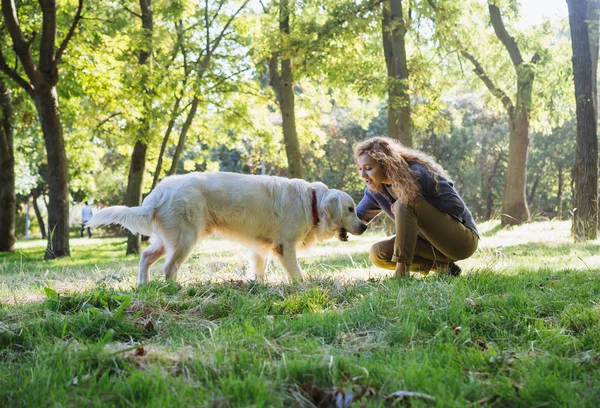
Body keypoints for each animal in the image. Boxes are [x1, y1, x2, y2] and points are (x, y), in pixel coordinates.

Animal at [84, 171, 366, 284]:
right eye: (351, 208)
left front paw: (260, 285)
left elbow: (260, 270)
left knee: (144, 257)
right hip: (185, 238)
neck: (312, 203)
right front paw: (303, 285)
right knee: (168, 268)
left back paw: (143, 285)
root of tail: (159, 192)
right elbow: (296, 273)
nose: (364, 225)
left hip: (166, 239)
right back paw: (173, 288)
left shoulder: (261, 249)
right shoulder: (285, 247)